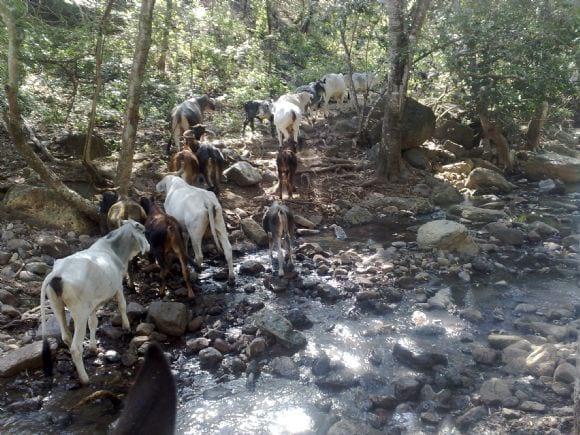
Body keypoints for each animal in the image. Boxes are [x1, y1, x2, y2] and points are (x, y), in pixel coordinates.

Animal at [40, 221, 150, 384]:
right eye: (142, 231)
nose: (148, 246)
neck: (113, 249)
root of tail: (57, 273)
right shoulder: (118, 286)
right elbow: (122, 305)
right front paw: (126, 327)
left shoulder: (92, 304)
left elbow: (93, 323)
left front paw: (93, 347)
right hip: (79, 313)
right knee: (75, 347)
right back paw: (85, 378)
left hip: (57, 306)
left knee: (66, 336)